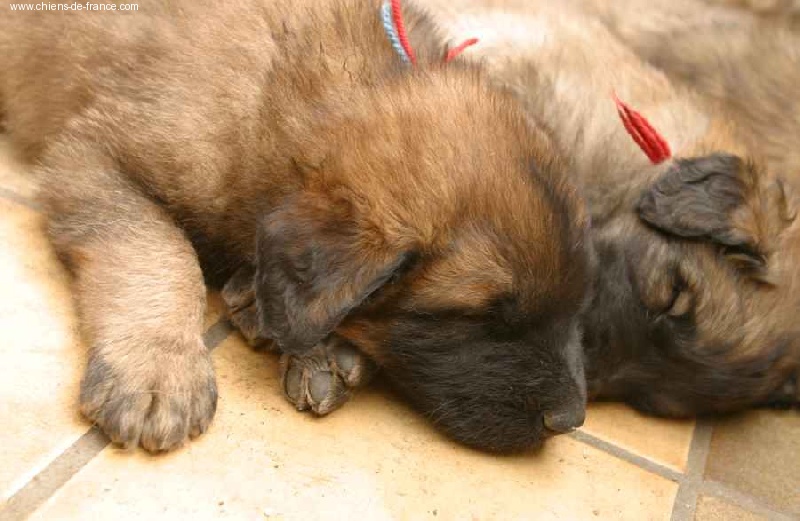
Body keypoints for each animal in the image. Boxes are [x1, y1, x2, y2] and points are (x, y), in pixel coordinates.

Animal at [0, 0, 592, 453]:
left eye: (575, 308)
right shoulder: (95, 155)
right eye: (480, 318)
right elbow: (158, 254)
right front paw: (157, 368)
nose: (569, 421)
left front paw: (318, 347)